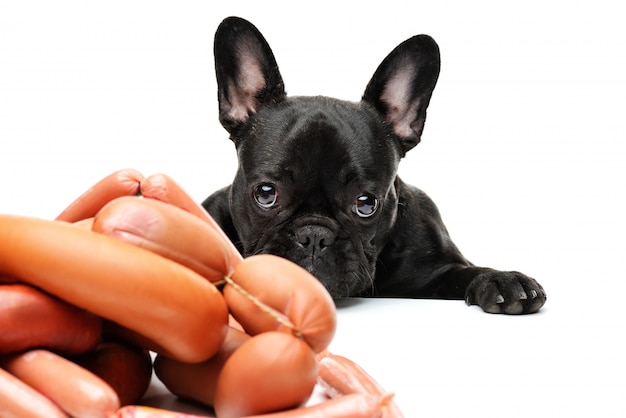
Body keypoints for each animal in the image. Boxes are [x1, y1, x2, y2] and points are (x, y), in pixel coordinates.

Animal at [202, 16, 544, 314]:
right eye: (265, 193)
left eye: (366, 203)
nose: (314, 236)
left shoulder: (440, 265)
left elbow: (465, 271)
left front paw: (501, 279)